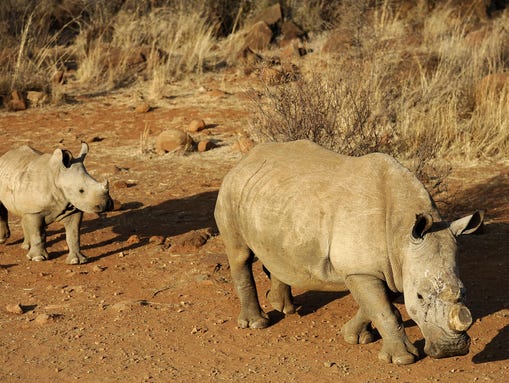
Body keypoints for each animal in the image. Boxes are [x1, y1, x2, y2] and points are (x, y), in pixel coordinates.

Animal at [212, 140, 482, 364]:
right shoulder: (362, 269)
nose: (452, 350)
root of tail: (244, 160)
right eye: (420, 297)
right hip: (231, 190)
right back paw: (257, 324)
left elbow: (376, 305)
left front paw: (354, 337)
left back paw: (284, 308)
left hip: (274, 200)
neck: (402, 232)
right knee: (240, 255)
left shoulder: (386, 266)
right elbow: (384, 310)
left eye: (464, 292)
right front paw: (402, 359)